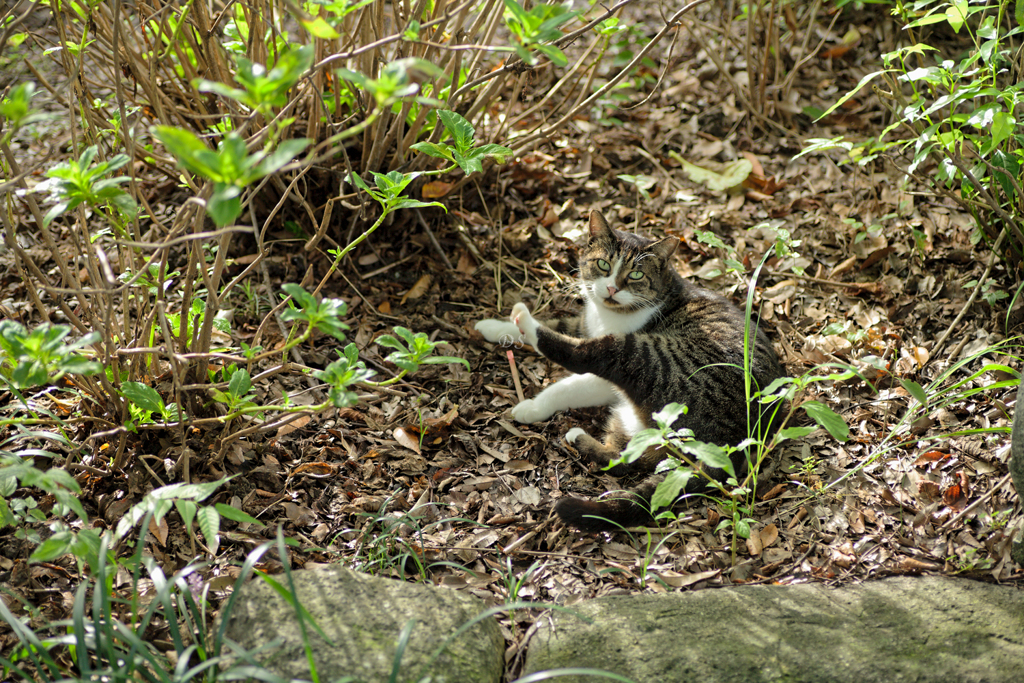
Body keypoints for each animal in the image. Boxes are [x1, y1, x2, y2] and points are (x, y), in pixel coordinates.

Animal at [473, 210, 782, 532]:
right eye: (603, 265)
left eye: (636, 275)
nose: (612, 288)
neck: (607, 314)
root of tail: (730, 444)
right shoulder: (583, 325)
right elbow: (558, 323)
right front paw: (493, 327)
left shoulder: (604, 371)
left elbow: (568, 382)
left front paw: (533, 407)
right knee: (627, 459)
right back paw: (581, 438)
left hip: (647, 357)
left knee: (583, 355)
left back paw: (525, 319)